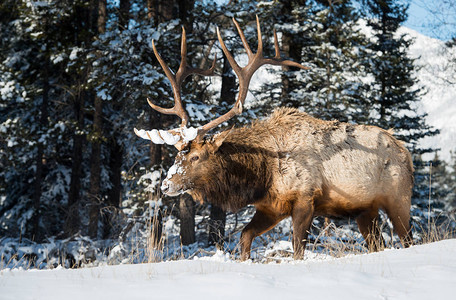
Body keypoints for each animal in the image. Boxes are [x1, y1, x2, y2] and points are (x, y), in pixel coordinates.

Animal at [134, 17, 414, 260]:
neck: (262, 175)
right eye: (176, 155)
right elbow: (245, 237)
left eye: (196, 156)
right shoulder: (270, 207)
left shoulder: (305, 198)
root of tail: (406, 153)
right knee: (378, 243)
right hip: (366, 210)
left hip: (398, 198)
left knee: (408, 239)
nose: (166, 185)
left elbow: (297, 247)